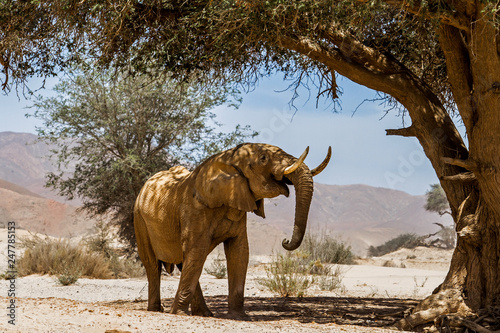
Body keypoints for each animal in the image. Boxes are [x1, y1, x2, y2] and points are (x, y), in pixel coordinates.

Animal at [133, 141, 332, 318]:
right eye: (263, 158)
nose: (285, 241)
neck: (228, 158)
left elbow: (239, 251)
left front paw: (239, 316)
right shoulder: (194, 209)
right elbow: (198, 250)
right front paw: (179, 314)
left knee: (184, 262)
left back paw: (204, 314)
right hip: (139, 219)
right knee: (153, 264)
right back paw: (157, 310)